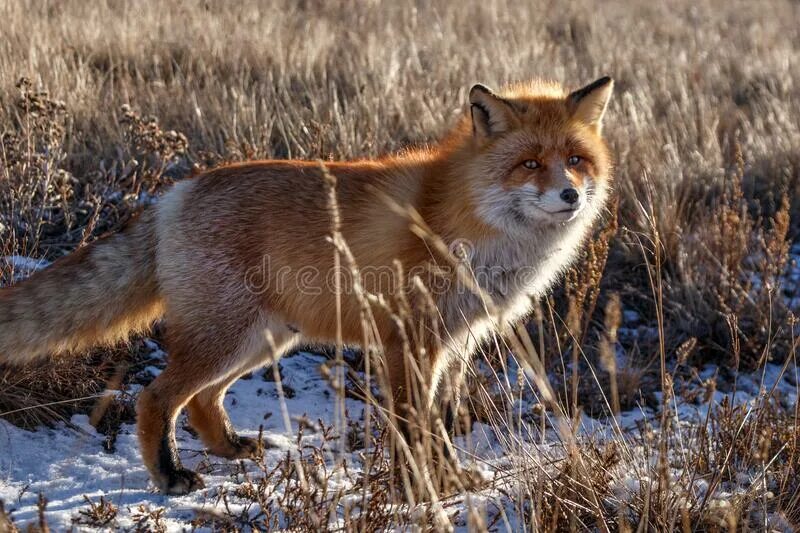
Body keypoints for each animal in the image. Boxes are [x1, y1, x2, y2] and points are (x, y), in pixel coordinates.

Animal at [0, 76, 612, 494]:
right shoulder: (407, 341)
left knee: (202, 399)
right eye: (529, 163)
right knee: (155, 397)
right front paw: (420, 489)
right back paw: (171, 476)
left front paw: (450, 480)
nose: (570, 196)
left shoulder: (453, 343)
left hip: (263, 340)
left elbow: (437, 423)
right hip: (228, 337)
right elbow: (414, 424)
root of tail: (175, 192)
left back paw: (231, 448)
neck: (465, 219)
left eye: (576, 160)